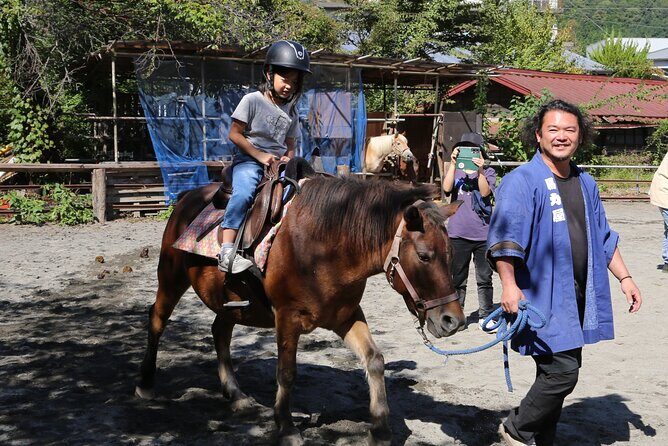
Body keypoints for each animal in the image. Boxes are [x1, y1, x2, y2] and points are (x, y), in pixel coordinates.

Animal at [135, 175, 465, 446]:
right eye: (424, 256)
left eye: (451, 252)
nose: (453, 321)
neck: (326, 247)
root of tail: (188, 198)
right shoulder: (287, 318)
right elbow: (286, 372)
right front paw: (286, 427)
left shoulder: (347, 316)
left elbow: (374, 360)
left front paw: (381, 429)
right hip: (171, 278)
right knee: (157, 319)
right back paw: (146, 384)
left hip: (229, 303)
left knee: (220, 332)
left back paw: (236, 394)